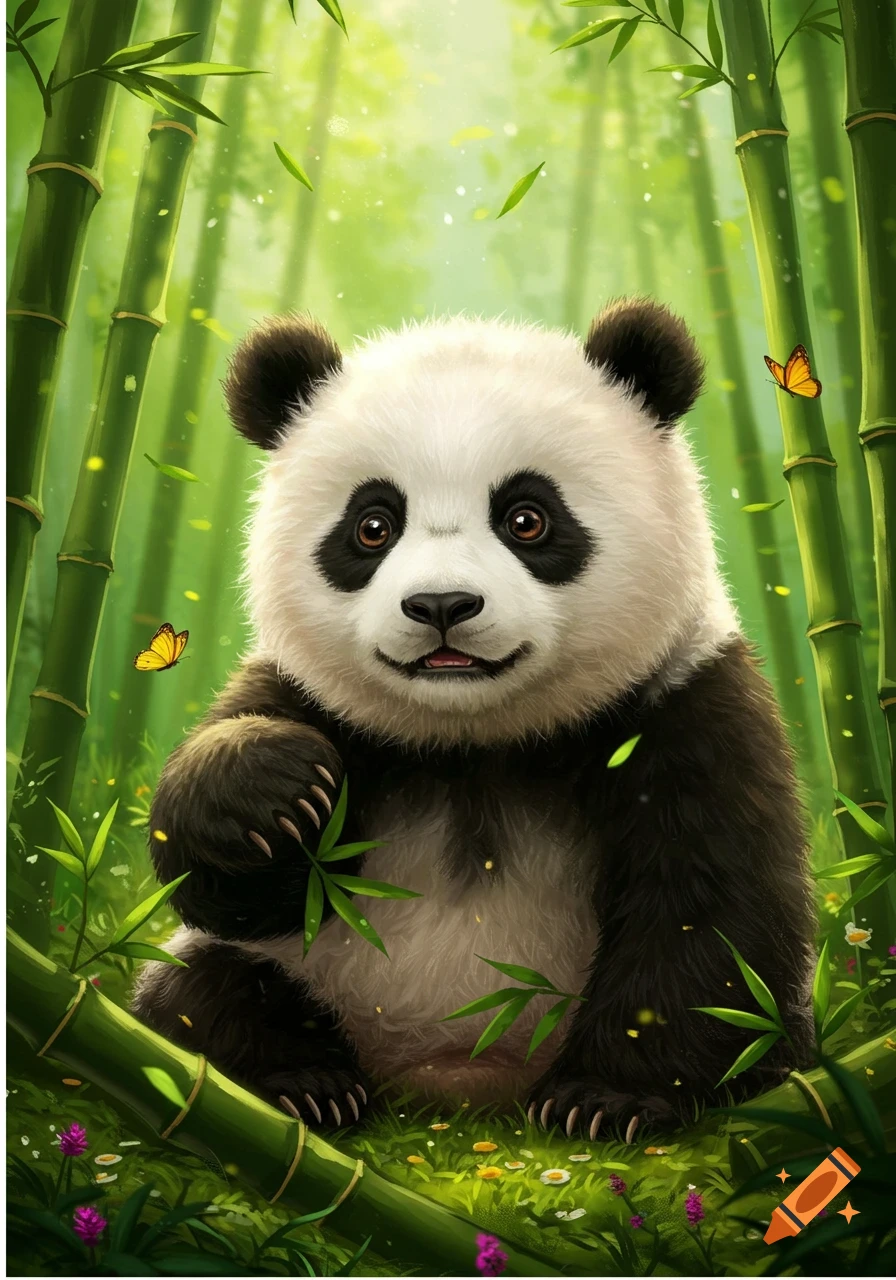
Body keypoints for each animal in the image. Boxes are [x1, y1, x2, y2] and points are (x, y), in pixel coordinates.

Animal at [132, 298, 815, 1140]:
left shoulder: (682, 703)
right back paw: (304, 1083)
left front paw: (607, 1101)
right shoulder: (313, 700)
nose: (441, 605)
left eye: (527, 518)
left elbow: (707, 907)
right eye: (372, 526)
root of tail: (453, 1077)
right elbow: (231, 889)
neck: (473, 744)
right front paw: (273, 791)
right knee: (197, 990)